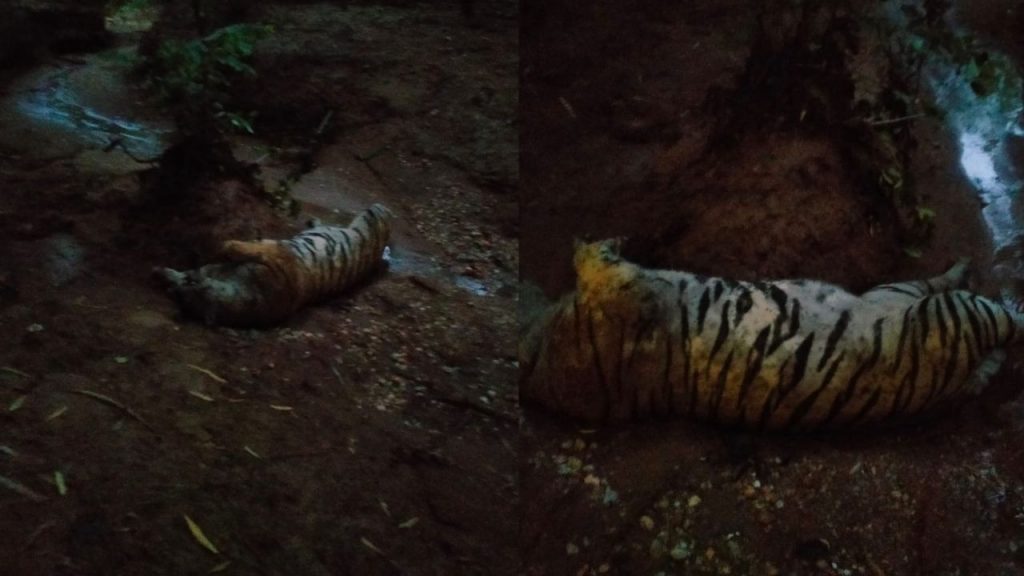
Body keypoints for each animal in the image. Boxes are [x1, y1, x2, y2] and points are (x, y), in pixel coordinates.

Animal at [155, 203, 392, 327]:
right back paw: (313, 221)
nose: (172, 289)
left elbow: (234, 246)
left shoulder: (271, 251)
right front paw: (163, 272)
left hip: (371, 216)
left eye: (189, 285)